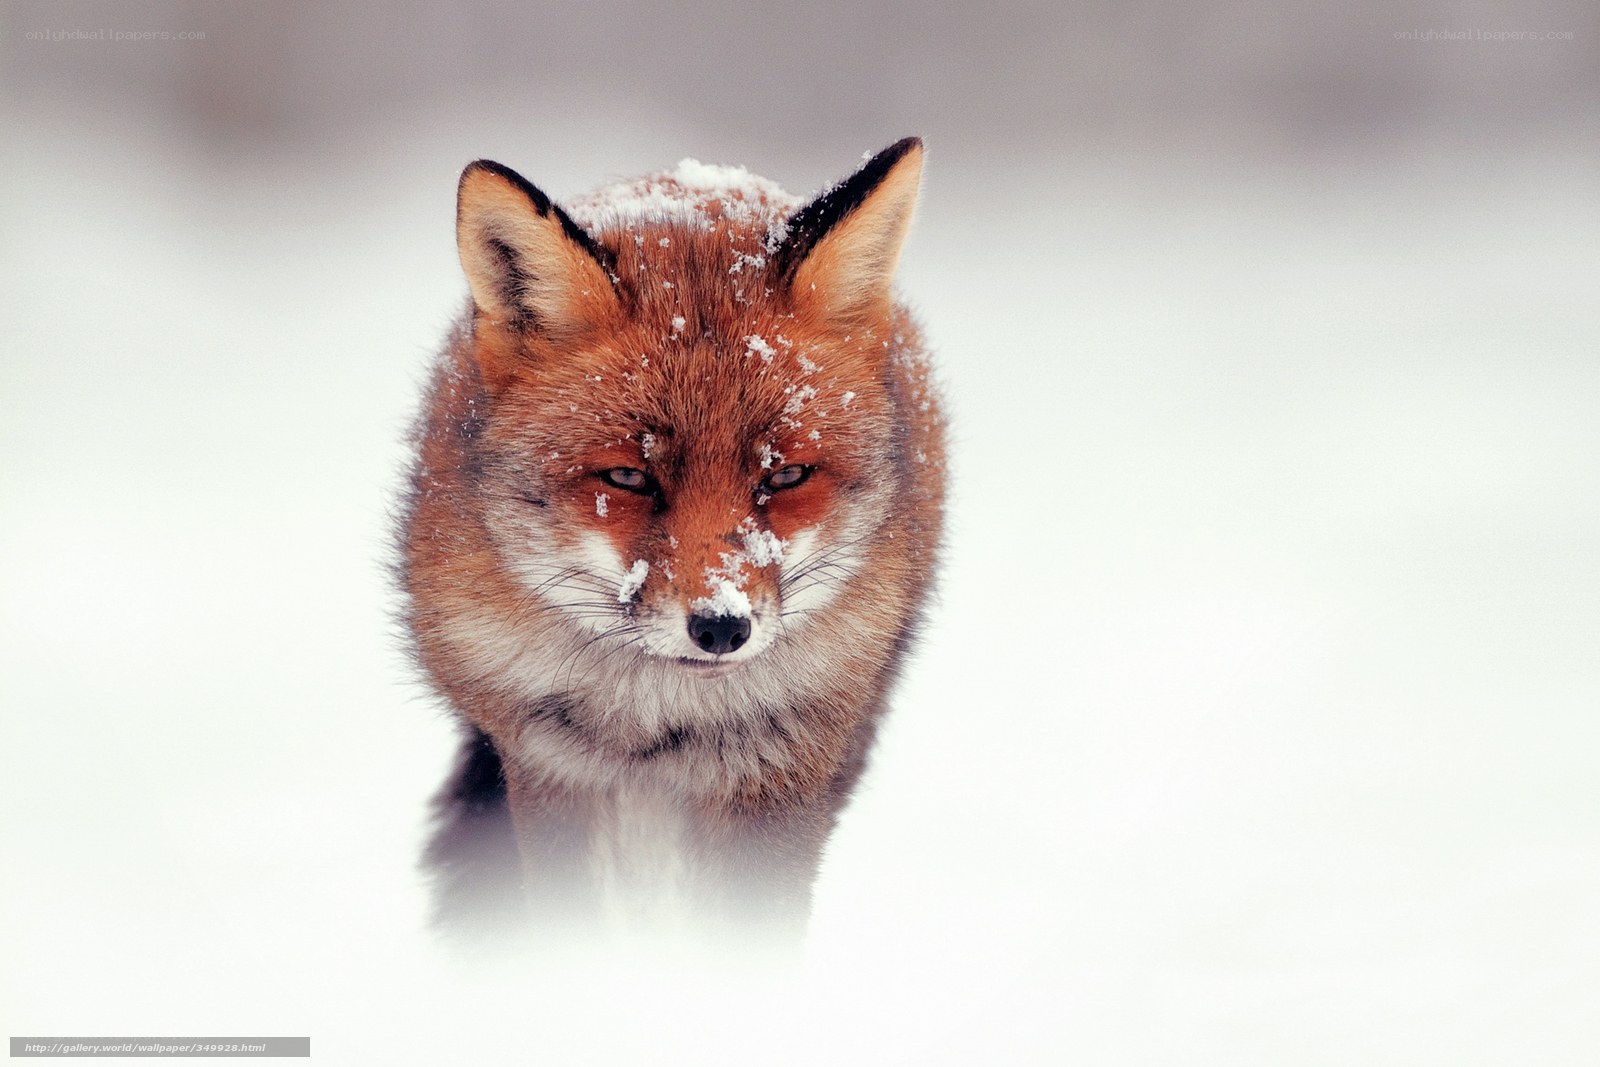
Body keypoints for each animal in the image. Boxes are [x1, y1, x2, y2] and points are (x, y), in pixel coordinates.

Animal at [399, 138, 945, 943]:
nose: (721, 627)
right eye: (628, 475)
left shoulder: (780, 772)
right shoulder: (549, 763)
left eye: (785, 475)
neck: (657, 718)